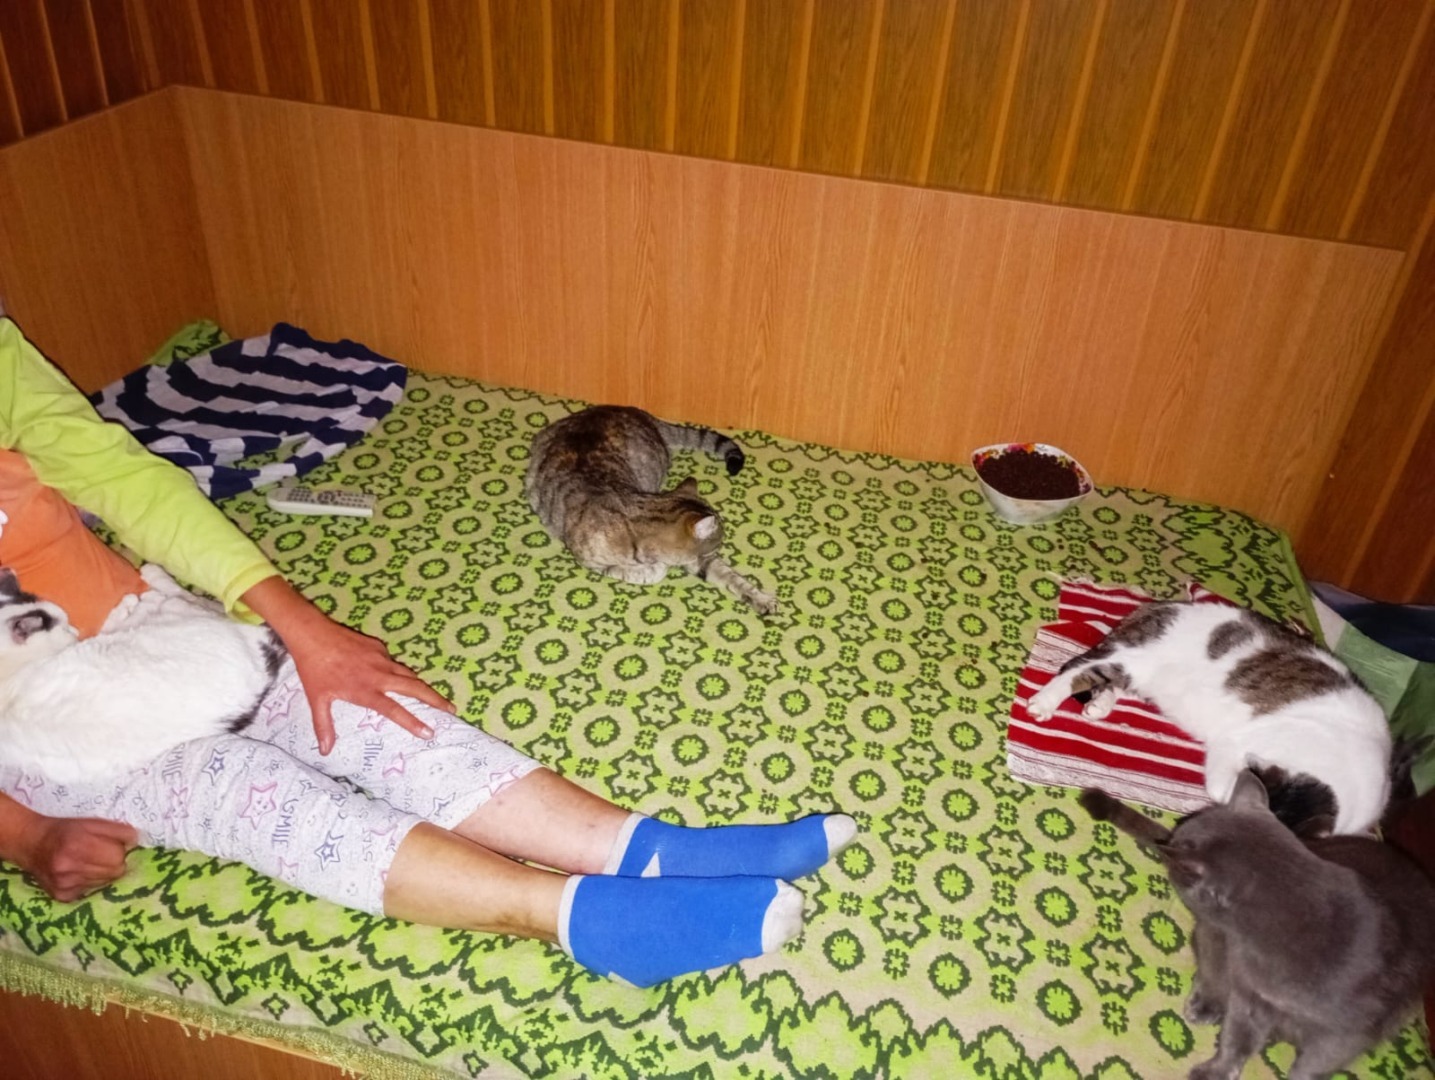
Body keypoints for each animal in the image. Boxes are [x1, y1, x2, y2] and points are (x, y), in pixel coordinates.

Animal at [0, 564, 287, 783]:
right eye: (61, 626)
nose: (74, 628)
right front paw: (126, 604)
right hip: (177, 615)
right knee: (188, 598)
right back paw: (151, 578)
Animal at [525, 405, 776, 614]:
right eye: (719, 542)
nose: (721, 545)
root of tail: (643, 414)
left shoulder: (698, 559)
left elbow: (731, 576)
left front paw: (760, 598)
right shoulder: (589, 559)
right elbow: (649, 571)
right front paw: (644, 569)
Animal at [1027, 600, 1391, 835]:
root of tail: (1159, 606)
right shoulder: (1235, 745)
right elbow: (1223, 786)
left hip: (1140, 673)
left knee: (1108, 681)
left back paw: (1101, 705)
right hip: (1132, 656)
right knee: (1077, 668)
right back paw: (1044, 703)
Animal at [1080, 772, 1435, 1080]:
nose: (1165, 847)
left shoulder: (1349, 1032)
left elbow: (1314, 1065)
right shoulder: (1251, 997)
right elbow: (1236, 1040)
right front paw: (1214, 1071)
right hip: (1212, 935)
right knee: (1211, 965)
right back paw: (1206, 1005)